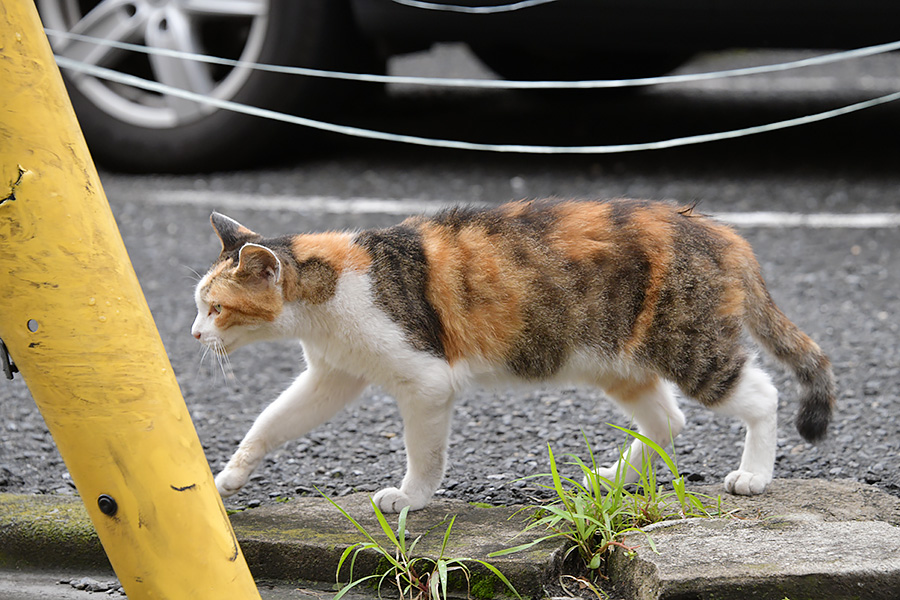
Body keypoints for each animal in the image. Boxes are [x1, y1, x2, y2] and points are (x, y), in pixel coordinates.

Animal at [192, 198, 836, 510]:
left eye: (216, 308)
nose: (195, 335)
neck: (328, 289)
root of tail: (718, 230)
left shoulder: (426, 383)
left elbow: (424, 454)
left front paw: (412, 499)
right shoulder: (332, 377)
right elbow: (270, 423)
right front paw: (228, 478)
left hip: (688, 345)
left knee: (761, 396)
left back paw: (754, 476)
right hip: (617, 360)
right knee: (669, 420)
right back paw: (615, 478)